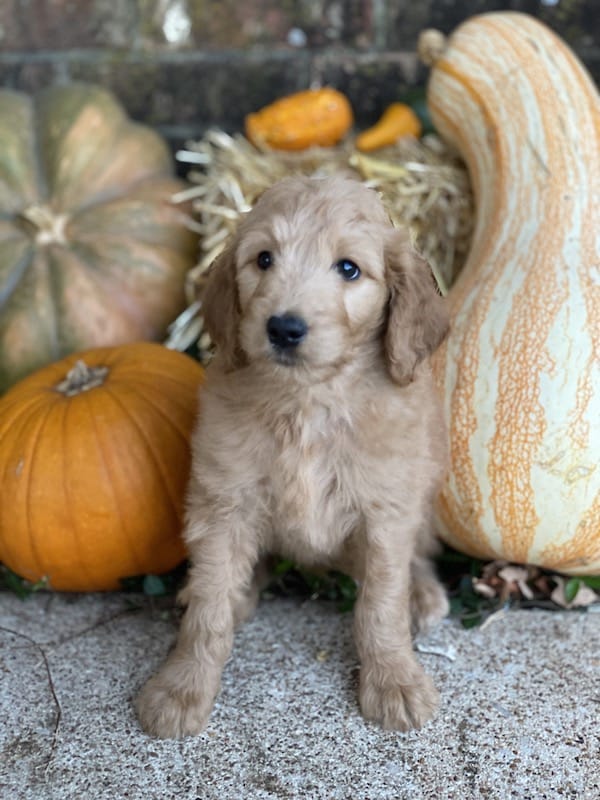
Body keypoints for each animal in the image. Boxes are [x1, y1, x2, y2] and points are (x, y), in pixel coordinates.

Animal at [137, 175, 450, 736]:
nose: (283, 328)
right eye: (263, 259)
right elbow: (209, 607)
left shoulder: (386, 511)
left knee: (417, 558)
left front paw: (394, 679)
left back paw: (422, 595)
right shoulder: (223, 503)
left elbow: (381, 603)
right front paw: (181, 687)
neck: (307, 404)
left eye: (348, 268)